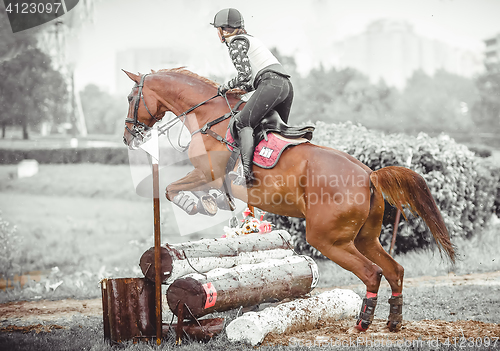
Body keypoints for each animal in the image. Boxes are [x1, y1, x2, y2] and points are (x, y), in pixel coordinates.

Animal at [123, 68, 456, 332]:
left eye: (129, 97)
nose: (128, 137)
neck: (209, 116)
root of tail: (368, 174)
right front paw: (211, 201)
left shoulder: (206, 172)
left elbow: (172, 189)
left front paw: (199, 204)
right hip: (365, 238)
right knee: (394, 271)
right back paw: (393, 322)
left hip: (328, 240)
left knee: (372, 273)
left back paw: (363, 322)